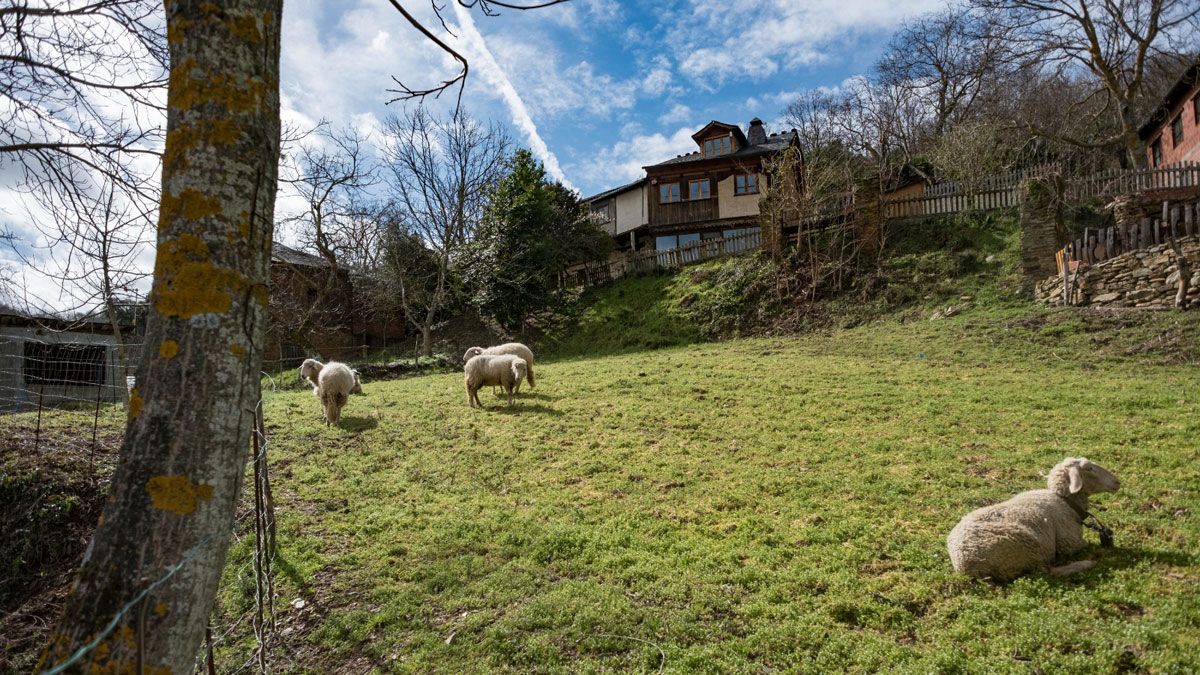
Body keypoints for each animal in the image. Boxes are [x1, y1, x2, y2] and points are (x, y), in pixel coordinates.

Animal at [945, 454, 1123, 581]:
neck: (1064, 501)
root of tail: (966, 564)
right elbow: (1084, 545)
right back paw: (1085, 564)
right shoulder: (1069, 543)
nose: (1117, 482)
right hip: (1031, 548)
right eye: (1089, 468)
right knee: (1048, 571)